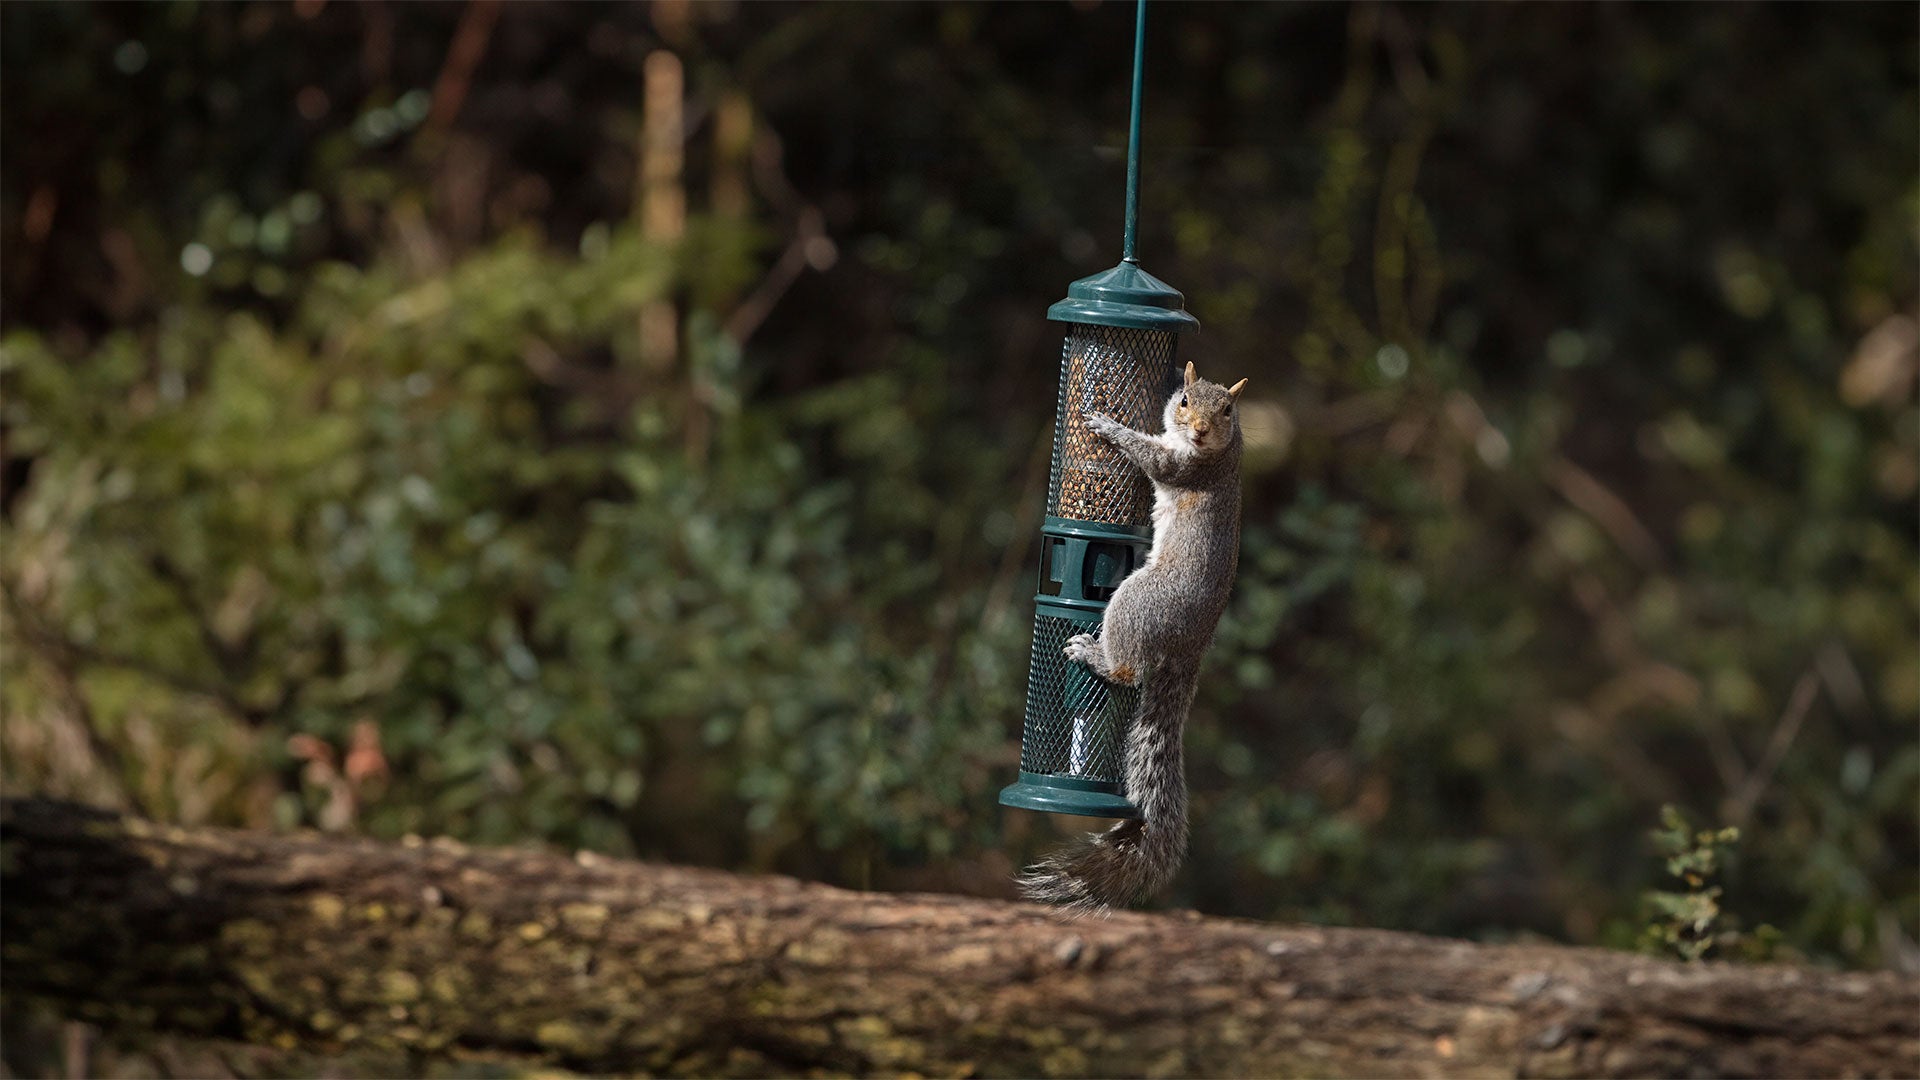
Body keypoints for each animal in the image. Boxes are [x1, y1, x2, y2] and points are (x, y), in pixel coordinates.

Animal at [1021, 359, 1244, 907]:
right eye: (1184, 399)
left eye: (1227, 410)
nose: (1200, 431)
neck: (1218, 450)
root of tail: (1192, 644)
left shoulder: (1183, 468)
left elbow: (1151, 458)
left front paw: (1108, 426)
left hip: (1137, 602)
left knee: (1127, 671)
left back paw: (1094, 655)